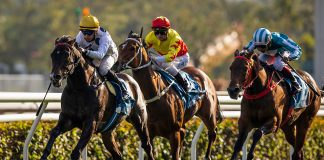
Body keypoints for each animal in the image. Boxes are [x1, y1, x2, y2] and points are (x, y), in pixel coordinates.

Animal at [114, 31, 223, 160]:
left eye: (132, 48)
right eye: (121, 46)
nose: (116, 66)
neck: (155, 96)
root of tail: (204, 75)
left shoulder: (174, 133)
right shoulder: (149, 133)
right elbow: (149, 150)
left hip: (208, 115)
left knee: (212, 133)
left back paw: (207, 155)